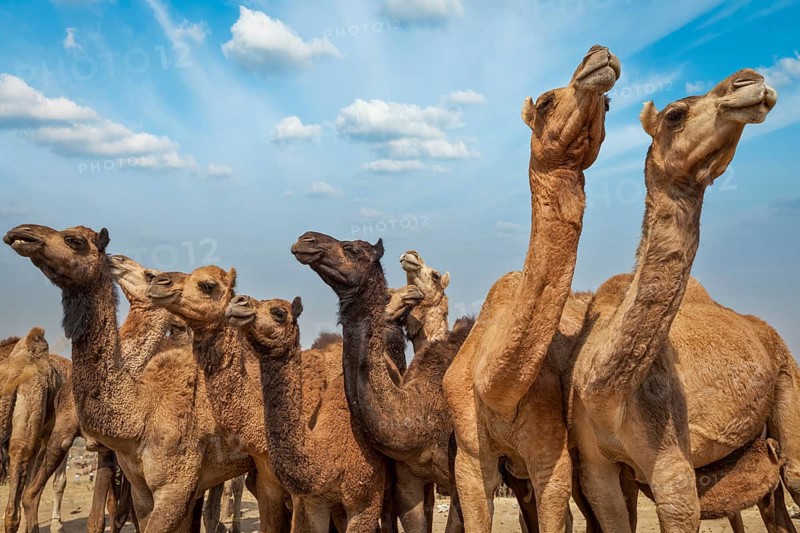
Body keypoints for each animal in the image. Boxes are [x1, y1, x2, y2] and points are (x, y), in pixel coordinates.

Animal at [439, 45, 620, 532]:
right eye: (544, 102)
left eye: (609, 106)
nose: (599, 56)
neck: (494, 386)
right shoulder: (471, 456)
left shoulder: (551, 457)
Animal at [568, 69, 789, 532]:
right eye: (675, 115)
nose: (751, 80)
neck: (604, 392)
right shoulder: (596, 466)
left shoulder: (672, 466)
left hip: (787, 377)